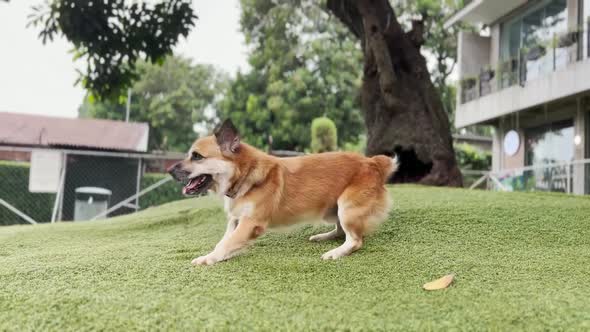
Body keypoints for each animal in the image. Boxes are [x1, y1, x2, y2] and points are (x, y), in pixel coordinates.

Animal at [168, 120, 398, 266]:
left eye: (197, 156)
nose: (168, 170)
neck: (244, 176)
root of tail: (373, 162)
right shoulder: (235, 220)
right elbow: (224, 241)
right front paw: (218, 254)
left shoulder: (250, 223)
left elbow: (228, 243)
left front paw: (208, 258)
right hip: (334, 210)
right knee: (341, 231)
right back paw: (323, 237)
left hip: (347, 205)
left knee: (355, 240)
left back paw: (336, 252)